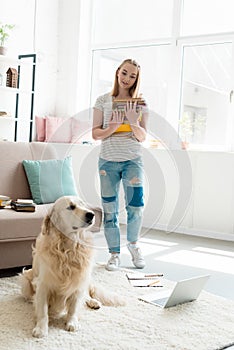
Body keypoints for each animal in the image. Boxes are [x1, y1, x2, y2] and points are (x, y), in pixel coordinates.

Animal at [21, 196, 125, 338]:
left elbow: (74, 307)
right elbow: (42, 309)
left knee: (86, 296)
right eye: (71, 207)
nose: (91, 214)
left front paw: (72, 322)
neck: (69, 249)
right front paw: (41, 328)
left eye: (84, 205)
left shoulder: (78, 281)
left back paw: (94, 302)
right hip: (25, 281)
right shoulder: (43, 284)